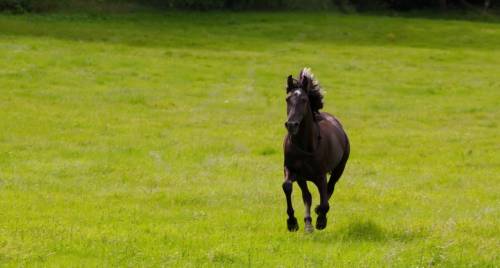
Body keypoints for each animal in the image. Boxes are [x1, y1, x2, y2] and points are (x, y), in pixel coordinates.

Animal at [284, 67, 350, 232]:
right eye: (287, 99)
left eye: (304, 100)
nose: (291, 124)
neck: (304, 146)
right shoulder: (292, 170)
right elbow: (287, 187)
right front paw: (292, 222)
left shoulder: (320, 175)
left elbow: (325, 198)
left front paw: (321, 219)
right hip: (302, 177)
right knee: (307, 196)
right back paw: (308, 223)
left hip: (339, 168)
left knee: (330, 188)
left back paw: (318, 214)